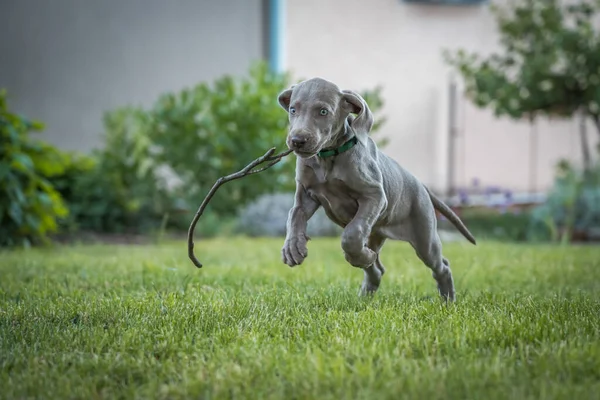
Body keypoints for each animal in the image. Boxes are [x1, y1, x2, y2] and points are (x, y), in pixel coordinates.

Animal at [278, 76, 478, 302]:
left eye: (323, 111)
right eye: (293, 110)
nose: (297, 140)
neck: (329, 157)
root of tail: (421, 185)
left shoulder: (374, 195)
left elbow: (351, 234)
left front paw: (357, 254)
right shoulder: (306, 194)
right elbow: (295, 215)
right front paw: (293, 247)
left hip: (424, 236)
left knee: (441, 266)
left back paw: (448, 300)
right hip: (375, 233)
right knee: (377, 269)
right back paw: (365, 286)